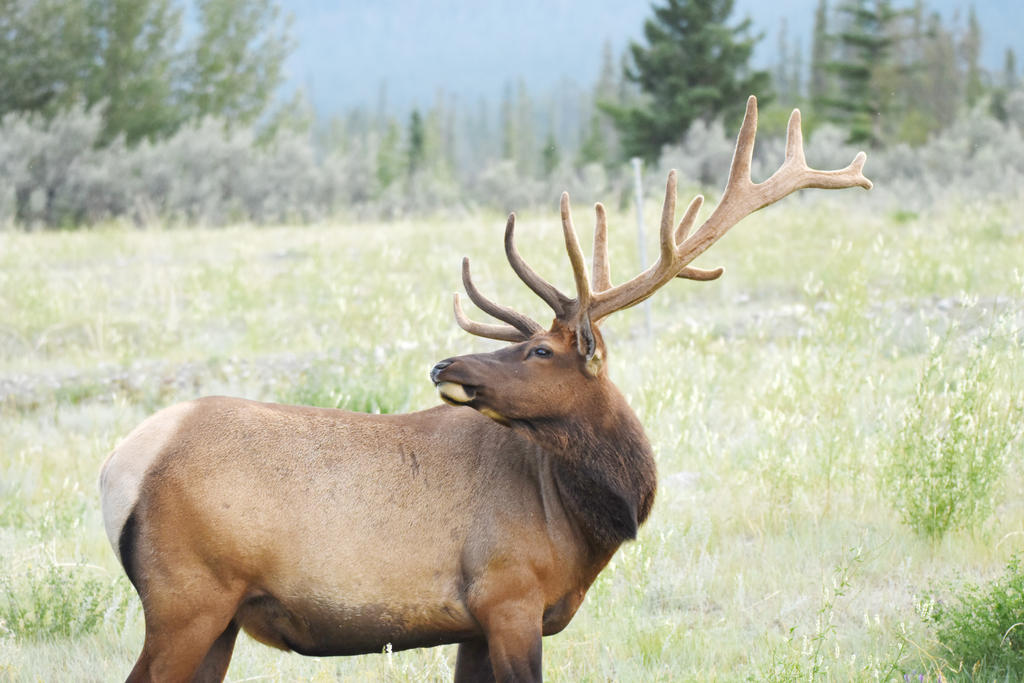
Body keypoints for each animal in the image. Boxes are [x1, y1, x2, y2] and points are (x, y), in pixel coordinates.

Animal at [99, 96, 870, 682]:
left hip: (221, 617)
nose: (447, 366)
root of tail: (116, 470)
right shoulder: (509, 596)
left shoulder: (472, 622)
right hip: (188, 597)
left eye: (535, 349)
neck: (583, 524)